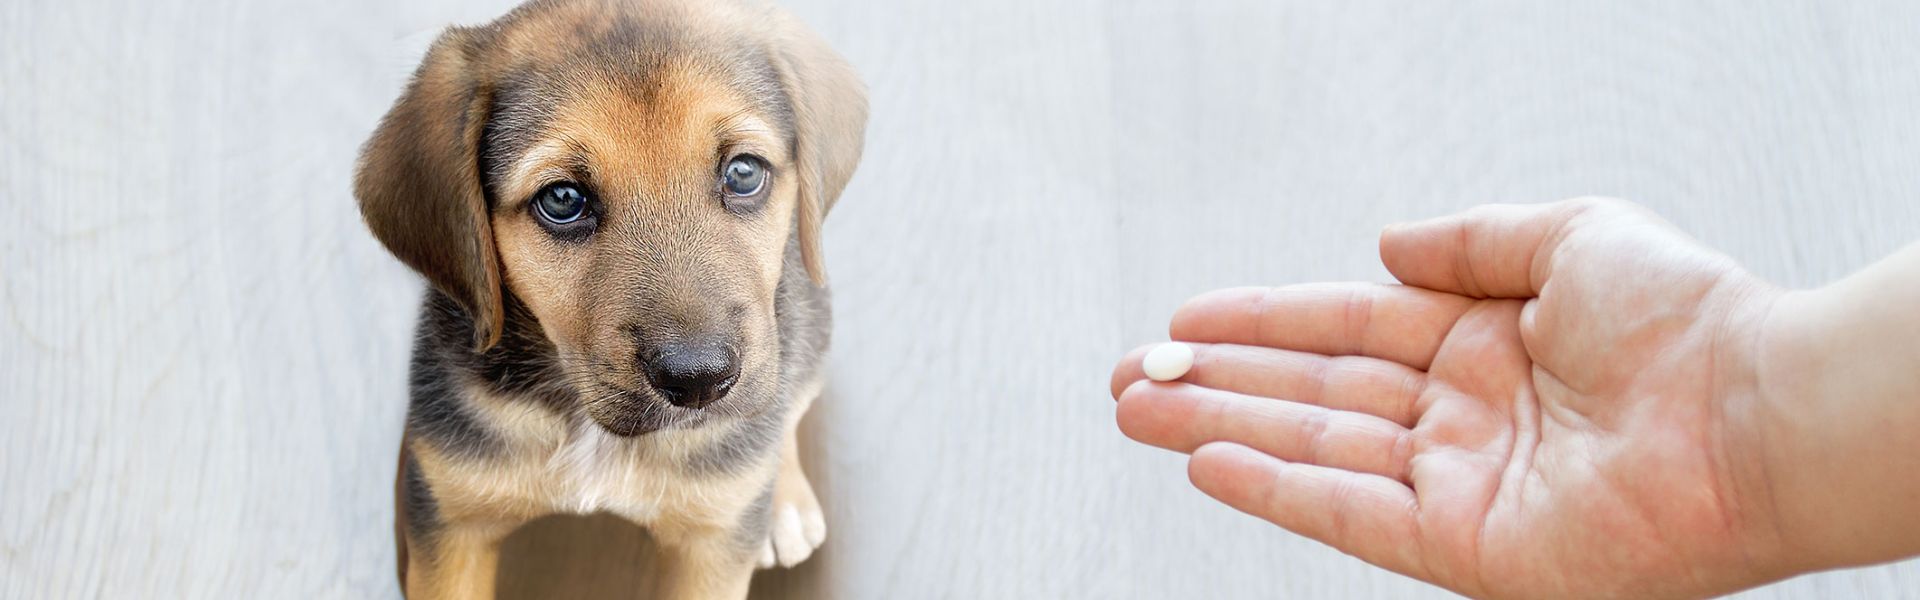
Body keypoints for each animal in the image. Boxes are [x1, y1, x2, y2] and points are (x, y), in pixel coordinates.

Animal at [353, 0, 871, 596]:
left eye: (743, 173)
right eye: (561, 199)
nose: (700, 380)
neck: (588, 427)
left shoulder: (711, 547)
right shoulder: (452, 526)